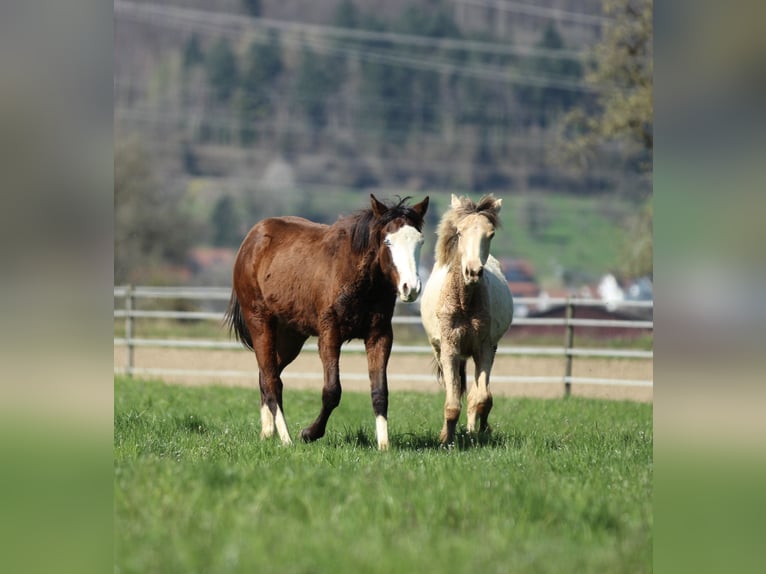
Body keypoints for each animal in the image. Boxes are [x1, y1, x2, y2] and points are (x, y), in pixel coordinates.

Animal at [225, 194, 429, 450]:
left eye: (420, 241)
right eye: (388, 241)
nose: (410, 288)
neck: (358, 279)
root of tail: (251, 239)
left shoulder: (380, 335)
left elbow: (380, 389)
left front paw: (384, 445)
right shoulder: (330, 334)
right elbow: (332, 390)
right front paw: (309, 433)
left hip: (291, 336)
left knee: (267, 375)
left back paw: (267, 433)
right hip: (260, 322)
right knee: (272, 379)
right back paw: (286, 438)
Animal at [419, 194, 514, 446]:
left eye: (490, 234)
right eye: (460, 232)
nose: (473, 271)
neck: (464, 302)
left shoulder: (485, 348)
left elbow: (482, 398)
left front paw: (476, 432)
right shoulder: (450, 349)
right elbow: (452, 403)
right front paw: (446, 439)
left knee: (477, 395)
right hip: (441, 351)